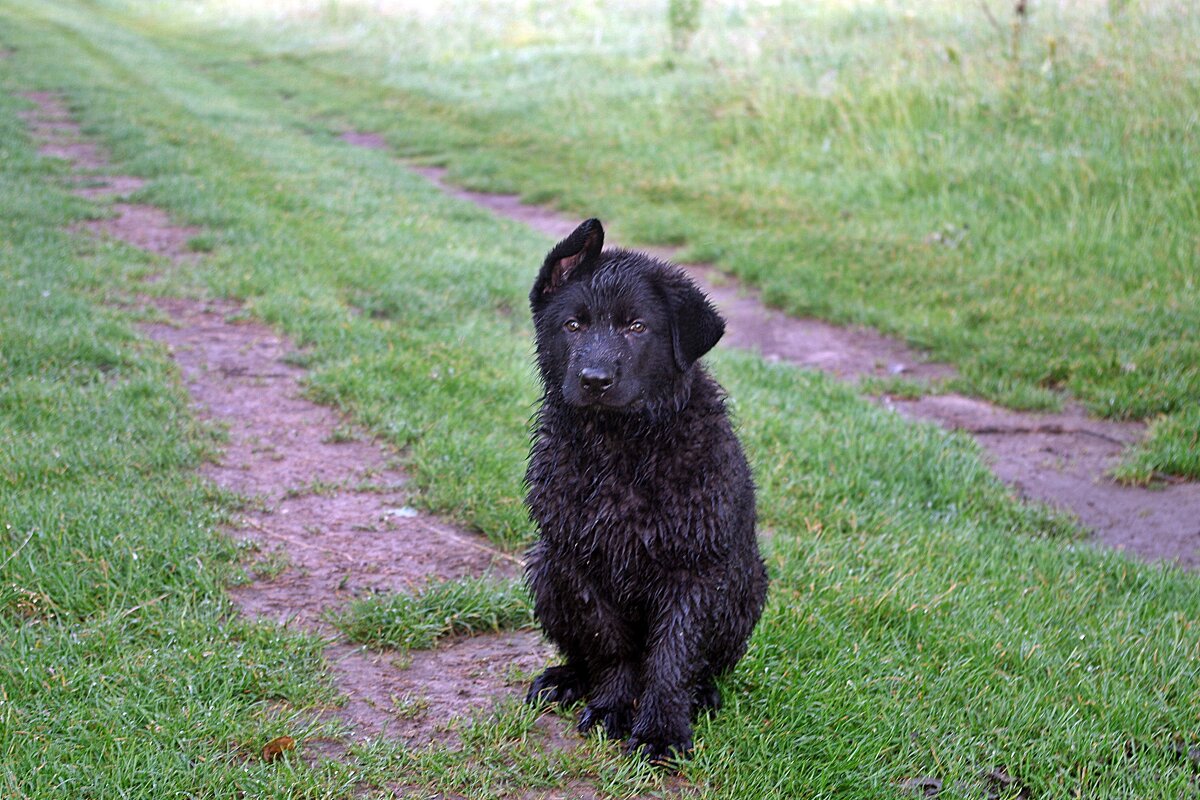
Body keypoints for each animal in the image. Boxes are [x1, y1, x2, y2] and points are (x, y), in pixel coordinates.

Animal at [525, 217, 768, 762]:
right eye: (573, 325)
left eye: (637, 328)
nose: (594, 380)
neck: (621, 448)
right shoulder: (576, 558)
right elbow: (608, 643)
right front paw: (611, 707)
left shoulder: (695, 569)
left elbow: (673, 655)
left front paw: (661, 731)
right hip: (544, 566)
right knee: (585, 652)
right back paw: (567, 680)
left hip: (746, 580)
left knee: (706, 664)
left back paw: (702, 694)